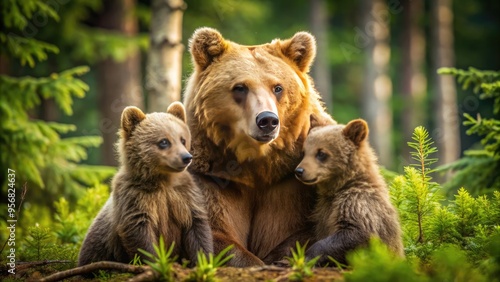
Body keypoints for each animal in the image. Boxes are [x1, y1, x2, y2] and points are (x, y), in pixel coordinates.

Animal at [78, 102, 213, 266]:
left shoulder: (184, 196)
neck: (162, 180)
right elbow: (140, 235)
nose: (186, 157)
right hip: (99, 247)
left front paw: (205, 262)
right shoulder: (135, 197)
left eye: (183, 139)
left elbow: (197, 228)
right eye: (164, 141)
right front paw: (156, 262)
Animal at [182, 27, 334, 266]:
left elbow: (311, 231)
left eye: (278, 88)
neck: (258, 167)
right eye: (240, 87)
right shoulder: (210, 177)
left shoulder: (295, 183)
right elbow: (213, 233)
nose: (267, 120)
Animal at [294, 118, 404, 266]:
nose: (299, 171)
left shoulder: (357, 202)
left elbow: (356, 232)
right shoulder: (322, 209)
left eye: (321, 153)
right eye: (304, 152)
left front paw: (308, 256)